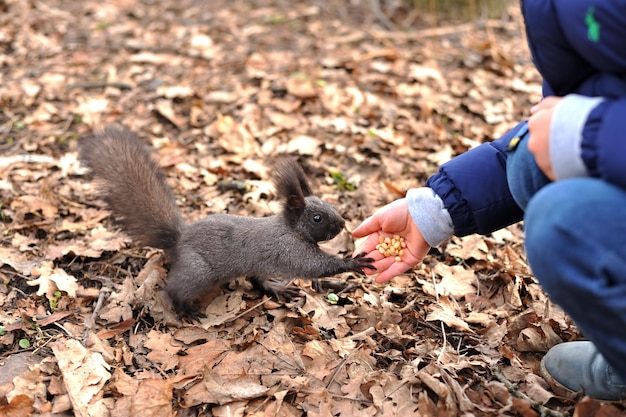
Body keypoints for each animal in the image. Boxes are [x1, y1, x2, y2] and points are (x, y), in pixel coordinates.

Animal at [77, 125, 370, 316]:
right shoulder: (289, 250)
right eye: (317, 218)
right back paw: (185, 310)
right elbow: (314, 266)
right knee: (174, 288)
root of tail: (178, 242)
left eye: (329, 205)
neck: (289, 228)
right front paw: (353, 262)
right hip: (199, 273)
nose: (342, 224)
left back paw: (275, 288)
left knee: (256, 279)